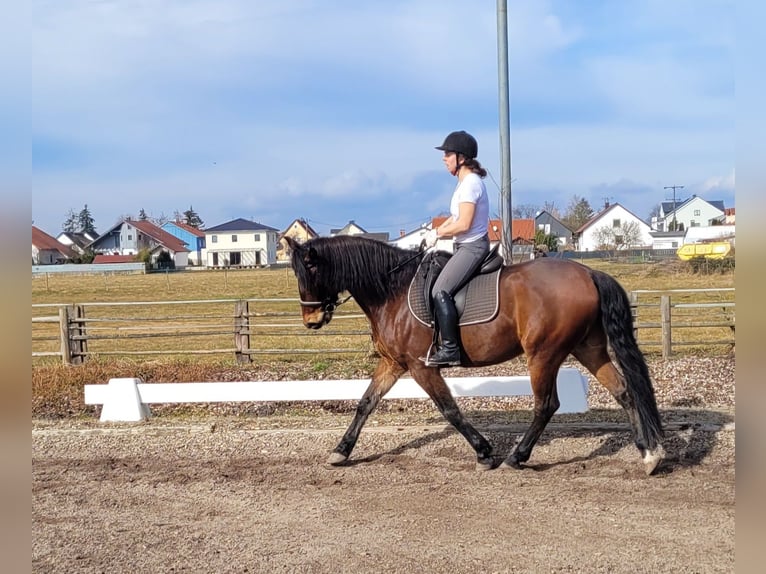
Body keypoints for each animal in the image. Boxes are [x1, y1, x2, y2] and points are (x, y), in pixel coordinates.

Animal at [284, 235, 664, 476]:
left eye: (309, 271)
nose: (311, 320)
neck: (391, 291)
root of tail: (588, 272)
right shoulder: (394, 363)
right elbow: (365, 403)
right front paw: (341, 451)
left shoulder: (422, 367)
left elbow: (449, 409)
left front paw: (483, 452)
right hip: (588, 348)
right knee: (624, 392)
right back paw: (650, 454)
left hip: (543, 354)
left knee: (546, 405)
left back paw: (516, 458)